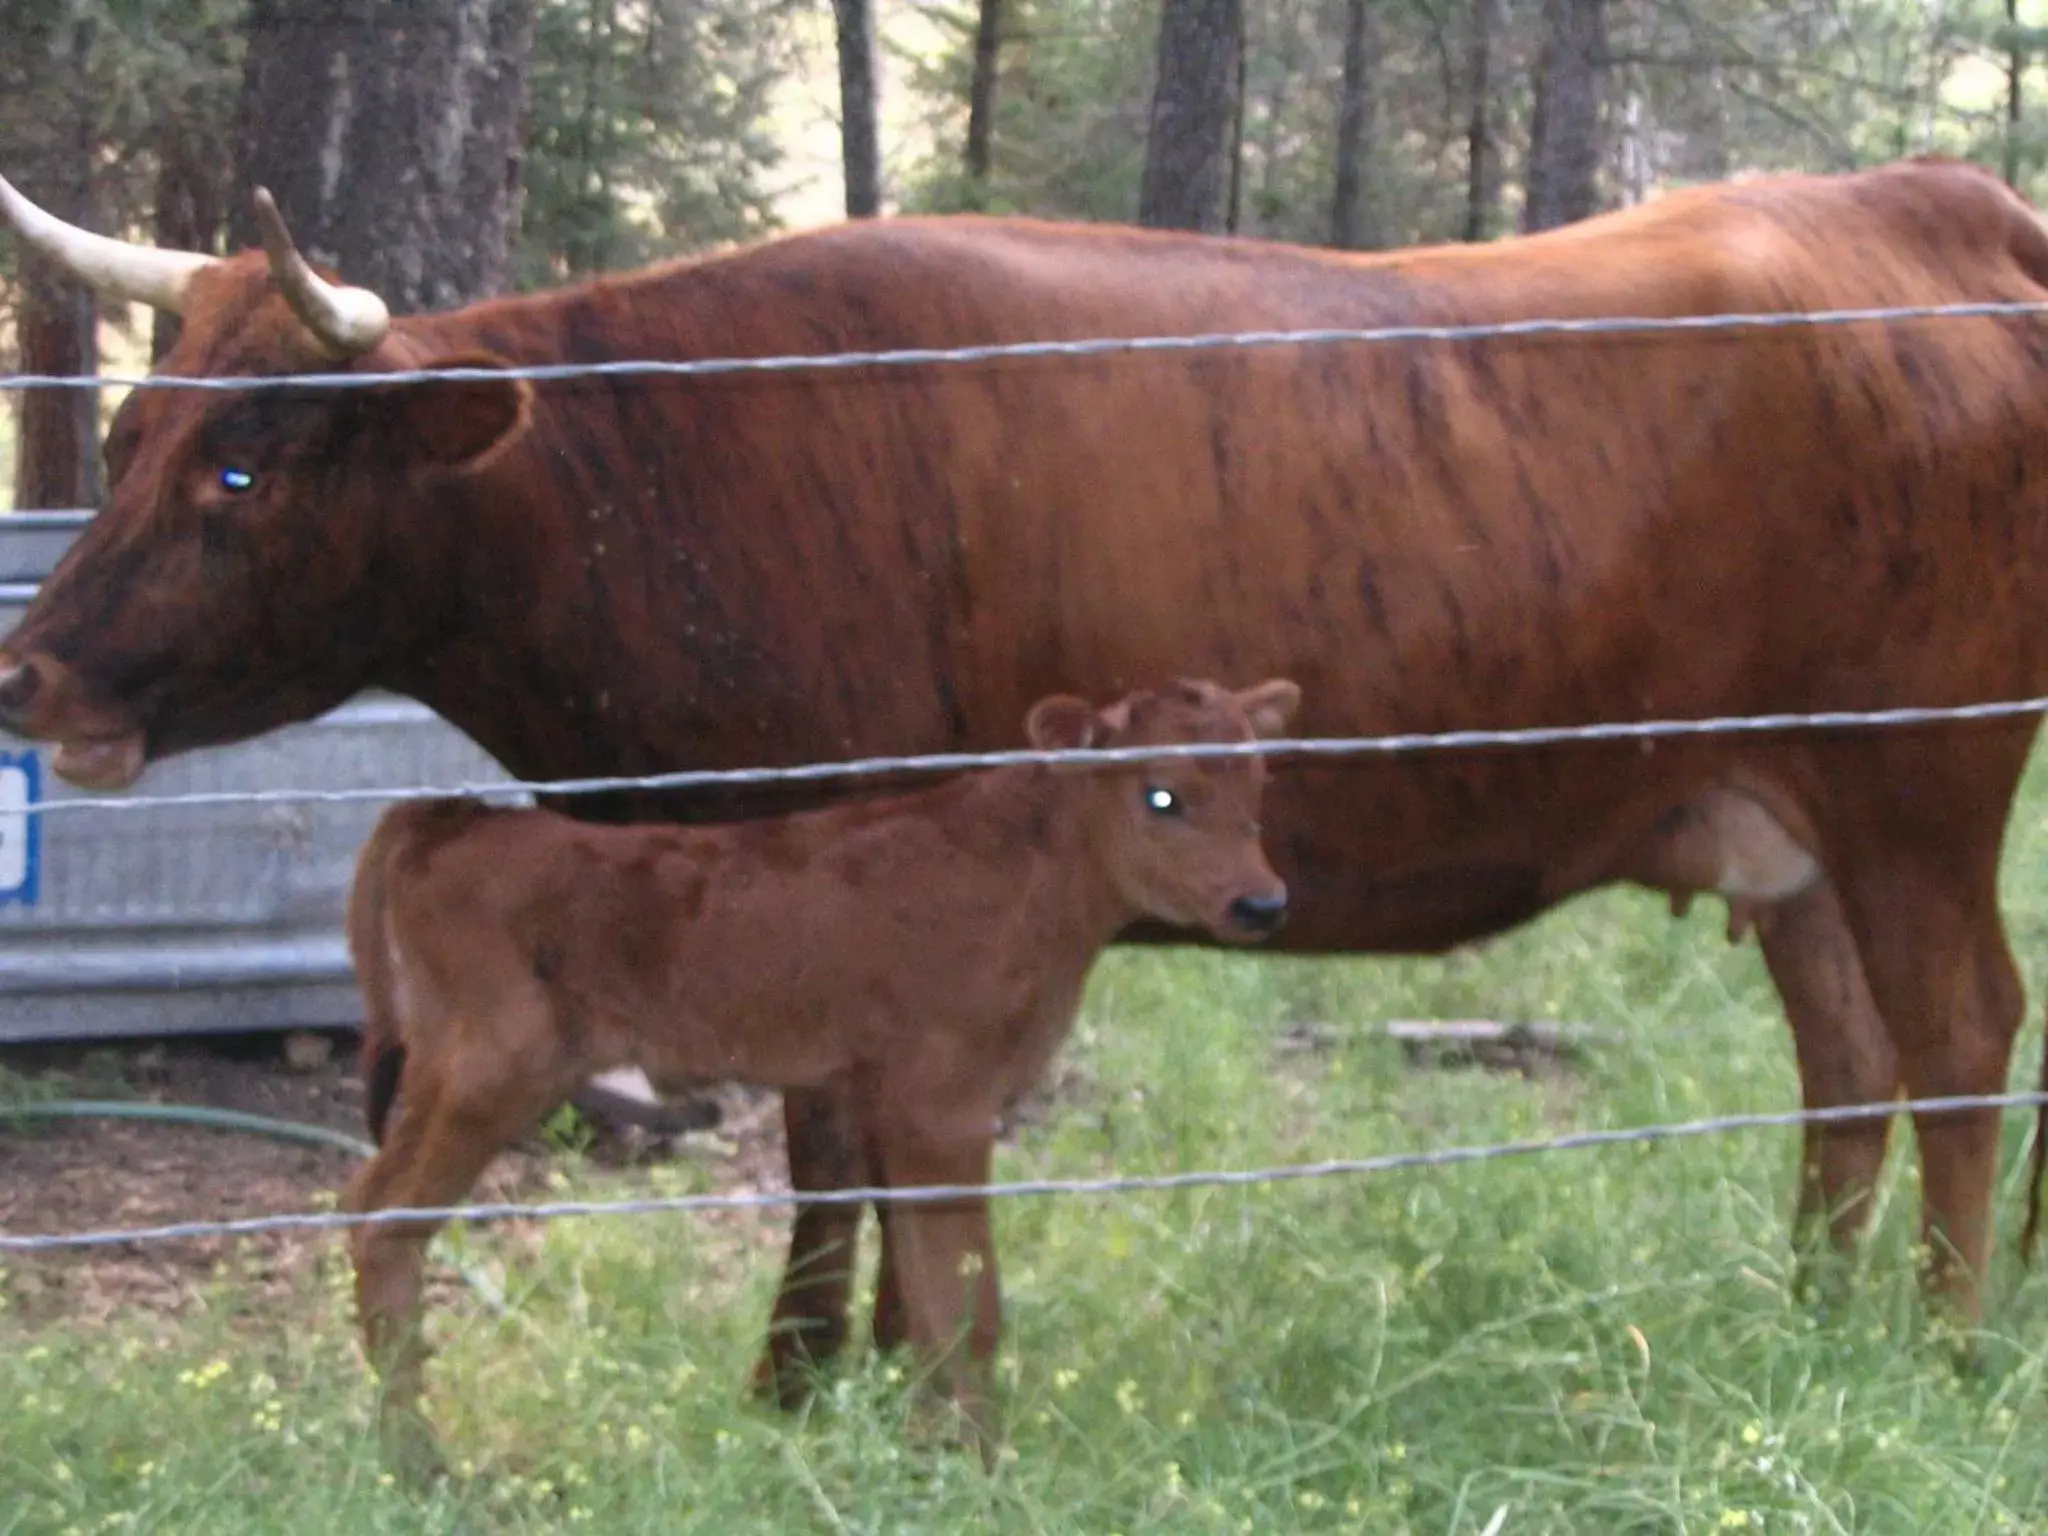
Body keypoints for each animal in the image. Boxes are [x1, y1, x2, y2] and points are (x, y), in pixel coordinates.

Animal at [4, 159, 2048, 1359]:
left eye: (242, 467)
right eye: (131, 427)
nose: (29, 672)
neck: (666, 472)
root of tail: (1923, 199)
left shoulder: (835, 854)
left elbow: (833, 1155)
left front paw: (807, 1390)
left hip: (1920, 787)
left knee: (1956, 1039)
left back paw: (1942, 1349)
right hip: (1781, 814)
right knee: (1845, 1064)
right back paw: (1807, 1319)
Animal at [337, 684, 1294, 1466]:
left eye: (1257, 785)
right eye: (1161, 792)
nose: (1262, 901)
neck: (1030, 874)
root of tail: (452, 816)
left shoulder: (893, 1099)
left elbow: (920, 1296)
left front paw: (928, 1454)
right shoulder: (943, 1100)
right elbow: (965, 1301)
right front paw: (981, 1468)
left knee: (364, 1201)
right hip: (491, 1066)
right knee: (385, 1218)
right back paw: (421, 1467)